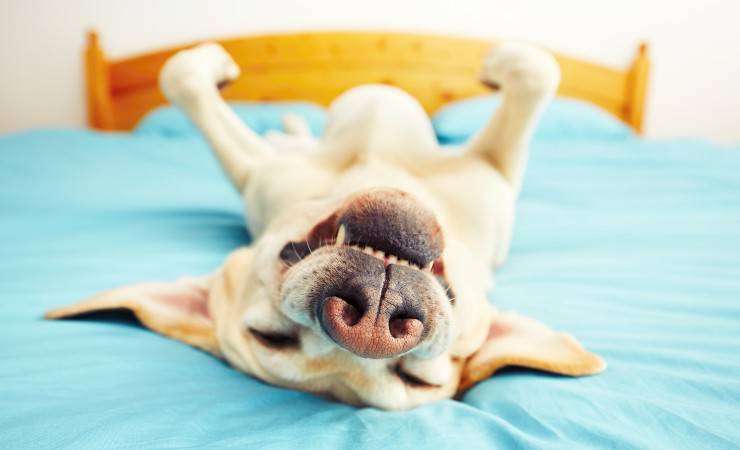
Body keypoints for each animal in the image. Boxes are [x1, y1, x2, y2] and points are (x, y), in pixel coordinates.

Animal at [46, 41, 605, 410]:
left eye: (418, 380)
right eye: (270, 339)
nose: (371, 324)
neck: (376, 170)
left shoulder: (496, 173)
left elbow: (539, 73)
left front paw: (498, 64)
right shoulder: (256, 171)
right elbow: (179, 76)